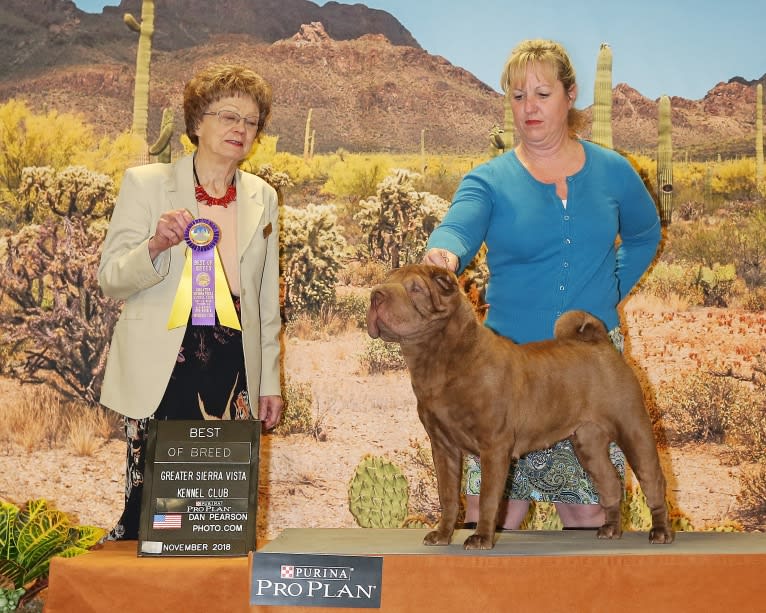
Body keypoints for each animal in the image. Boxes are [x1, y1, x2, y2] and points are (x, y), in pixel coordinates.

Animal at [368, 262, 676, 548]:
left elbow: (488, 498)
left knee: (653, 482)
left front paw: (481, 538)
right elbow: (448, 496)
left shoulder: (493, 446)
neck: (439, 360)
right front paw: (442, 535)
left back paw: (661, 532)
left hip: (633, 429)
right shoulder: (443, 447)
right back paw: (611, 529)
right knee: (610, 482)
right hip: (587, 442)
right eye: (387, 281)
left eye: (415, 288)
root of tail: (599, 344)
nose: (376, 295)